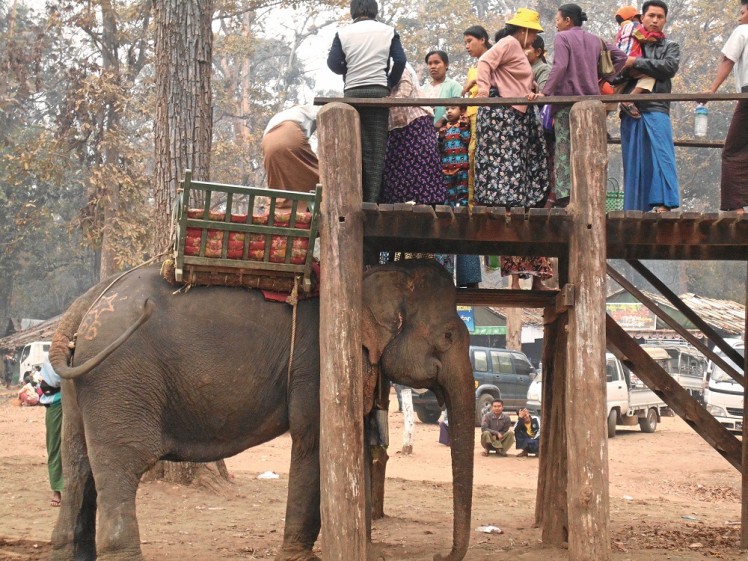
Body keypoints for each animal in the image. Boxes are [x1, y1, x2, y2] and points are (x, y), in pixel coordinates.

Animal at [46, 260, 474, 560]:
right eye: (448, 336)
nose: (440, 556)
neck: (366, 278)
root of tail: (83, 305)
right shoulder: (318, 365)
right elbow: (313, 440)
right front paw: (300, 557)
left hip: (85, 386)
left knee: (78, 464)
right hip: (120, 378)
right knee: (122, 466)